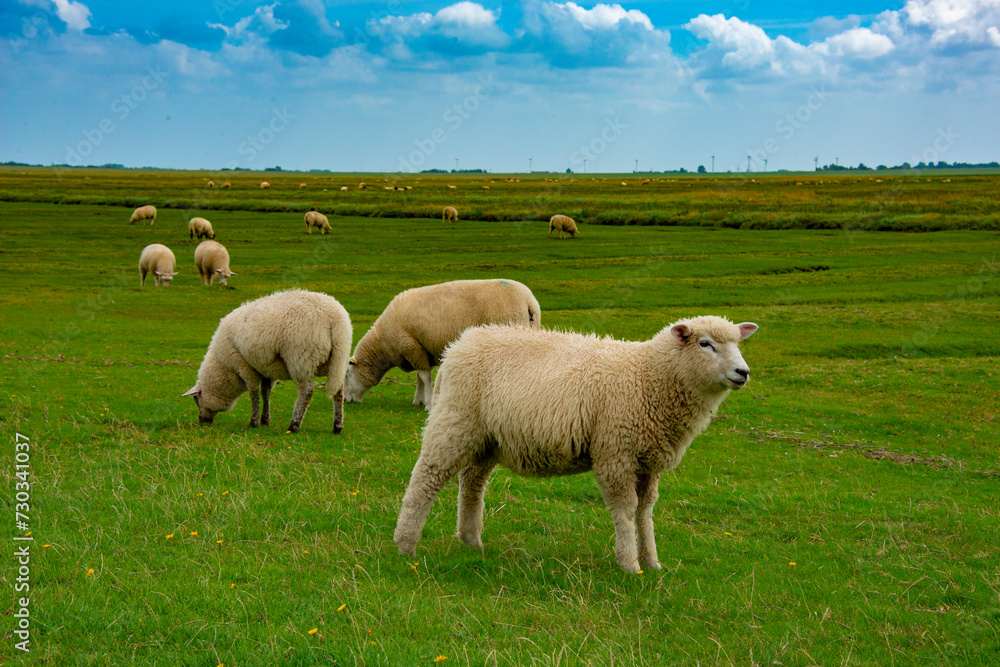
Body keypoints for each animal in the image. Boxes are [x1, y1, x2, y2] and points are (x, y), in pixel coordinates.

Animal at [182, 290, 354, 434]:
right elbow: (265, 392)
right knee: (338, 392)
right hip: (337, 361)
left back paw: (294, 425)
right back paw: (337, 426)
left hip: (301, 359)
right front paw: (265, 419)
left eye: (196, 399)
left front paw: (254, 422)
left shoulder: (243, 365)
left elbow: (254, 393)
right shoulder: (266, 367)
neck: (224, 368)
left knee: (306, 392)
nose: (202, 421)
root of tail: (335, 318)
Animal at [348, 278, 544, 412]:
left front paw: (428, 404)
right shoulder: (421, 350)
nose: (347, 401)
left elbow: (424, 377)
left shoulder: (412, 346)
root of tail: (529, 302)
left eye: (347, 374)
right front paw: (418, 400)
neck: (384, 343)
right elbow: (419, 378)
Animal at [394, 316, 760, 572]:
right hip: (456, 422)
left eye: (737, 343)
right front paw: (630, 564)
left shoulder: (647, 461)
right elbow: (625, 510)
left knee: (471, 484)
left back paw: (471, 541)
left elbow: (645, 512)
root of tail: (457, 346)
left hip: (487, 438)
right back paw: (405, 545)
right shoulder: (616, 452)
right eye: (705, 344)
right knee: (425, 479)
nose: (743, 372)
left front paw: (653, 562)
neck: (648, 376)